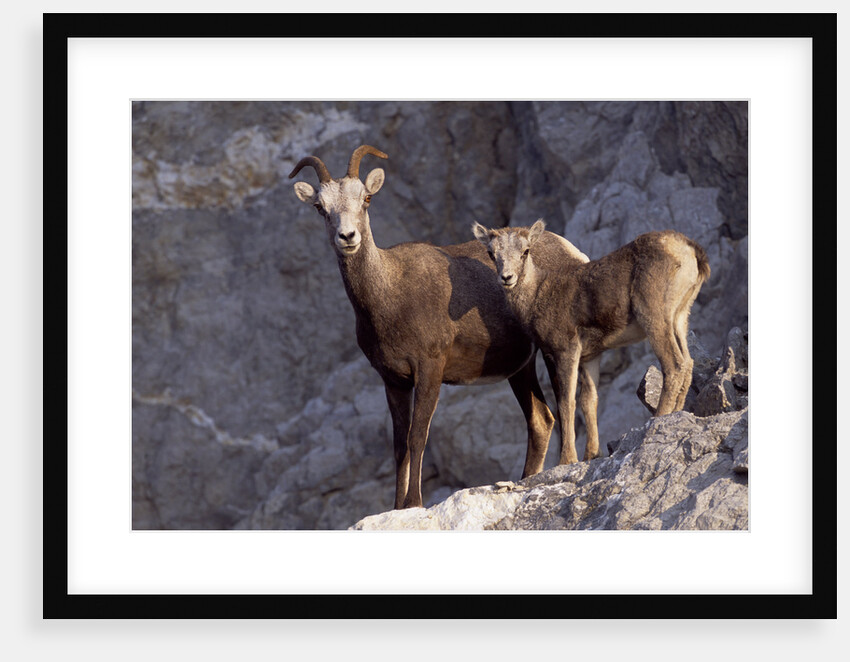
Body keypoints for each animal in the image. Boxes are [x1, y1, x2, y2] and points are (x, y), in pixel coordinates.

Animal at [290, 146, 589, 509]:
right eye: (320, 207)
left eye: (366, 199)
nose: (347, 237)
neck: (390, 296)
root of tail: (575, 254)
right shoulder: (393, 381)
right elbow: (399, 447)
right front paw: (397, 507)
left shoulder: (430, 368)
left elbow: (418, 437)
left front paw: (414, 502)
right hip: (521, 368)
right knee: (541, 420)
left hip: (555, 347)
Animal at [472, 219, 710, 464]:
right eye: (491, 253)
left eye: (525, 251)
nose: (507, 278)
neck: (537, 296)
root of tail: (691, 251)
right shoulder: (590, 357)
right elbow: (589, 400)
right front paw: (591, 455)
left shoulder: (566, 350)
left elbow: (567, 402)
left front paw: (568, 459)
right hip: (680, 317)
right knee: (688, 363)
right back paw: (676, 413)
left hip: (654, 315)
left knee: (674, 365)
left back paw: (658, 419)